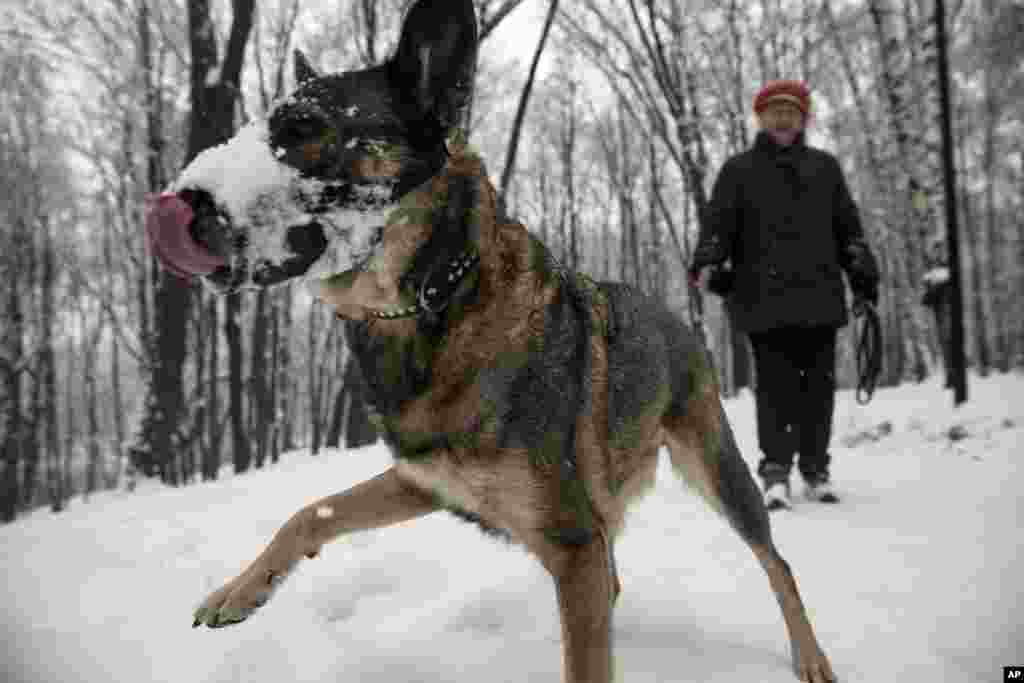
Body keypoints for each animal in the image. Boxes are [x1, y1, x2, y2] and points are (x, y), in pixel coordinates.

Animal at [146, 0, 831, 679]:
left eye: (304, 126)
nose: (181, 200)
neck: (437, 301)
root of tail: (671, 308)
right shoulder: (426, 482)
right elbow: (311, 511)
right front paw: (239, 591)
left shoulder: (574, 546)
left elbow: (588, 657)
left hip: (717, 469)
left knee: (777, 561)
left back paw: (812, 656)